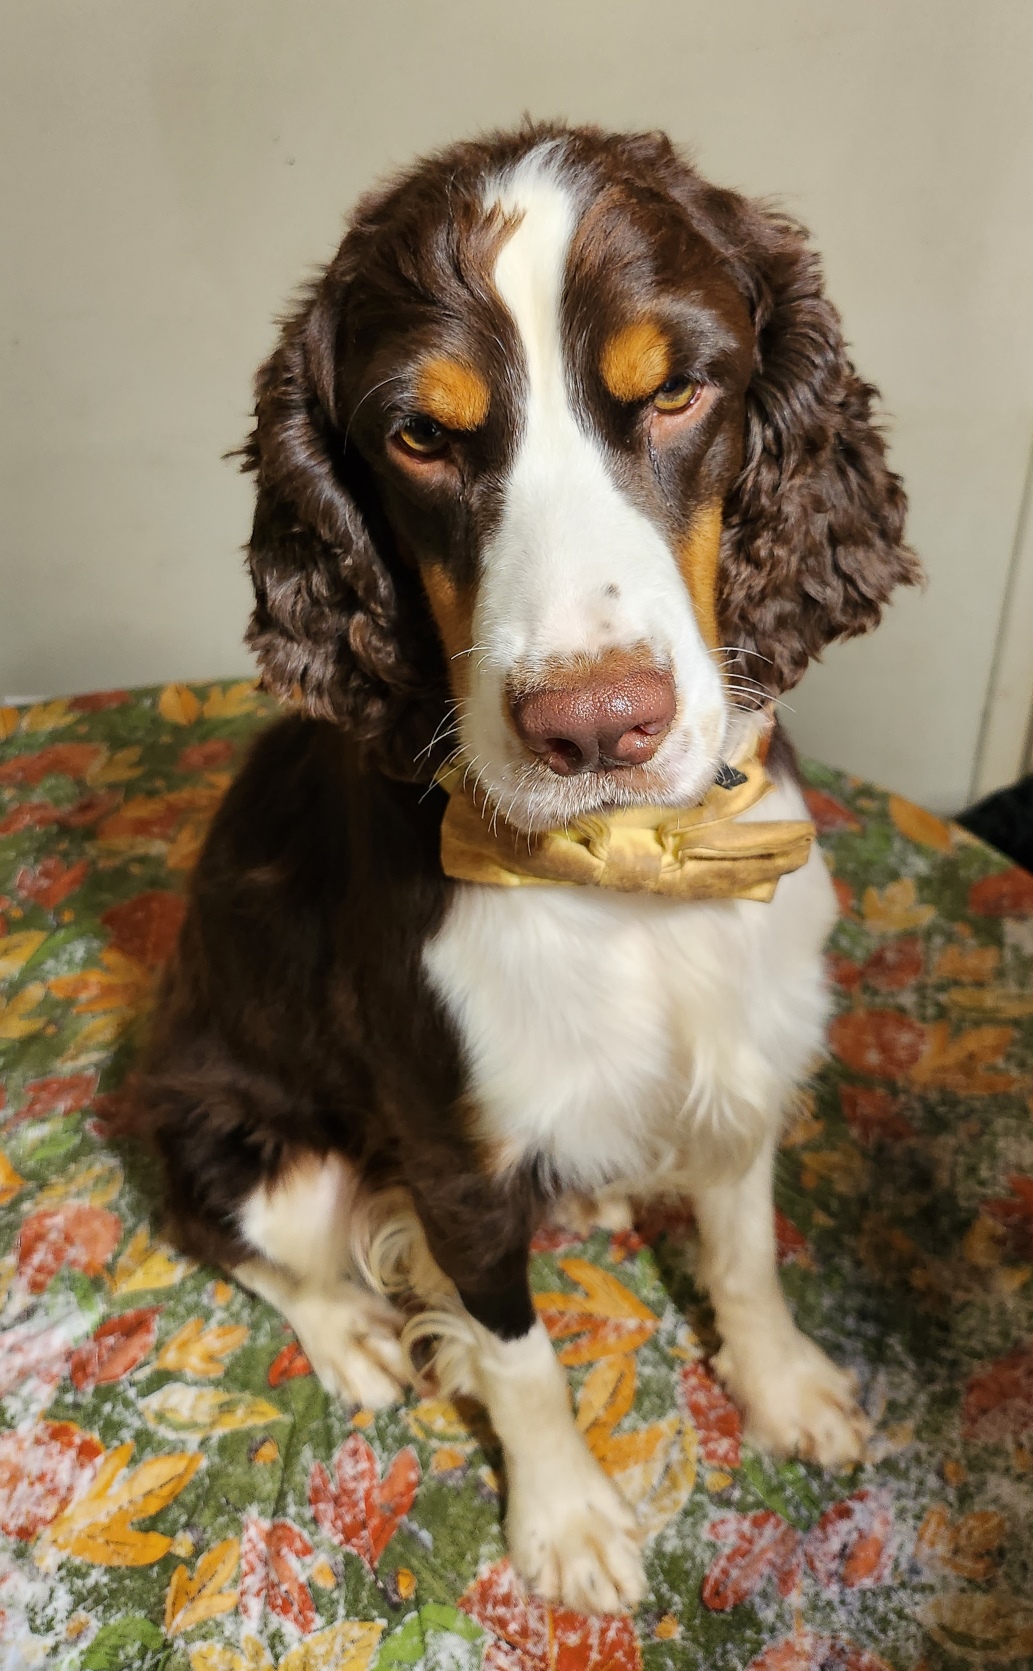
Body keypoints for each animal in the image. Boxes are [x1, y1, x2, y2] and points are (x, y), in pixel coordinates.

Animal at [137, 122, 920, 1615]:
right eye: (420, 436)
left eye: (675, 391)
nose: (595, 727)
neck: (625, 877)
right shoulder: (454, 1156)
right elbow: (520, 1354)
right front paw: (563, 1520)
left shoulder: (748, 1040)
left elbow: (744, 1250)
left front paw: (782, 1385)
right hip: (242, 1141)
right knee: (253, 1244)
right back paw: (355, 1334)